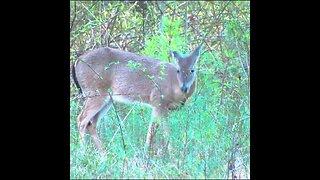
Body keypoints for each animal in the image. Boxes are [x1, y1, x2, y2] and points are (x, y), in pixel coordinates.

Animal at [71, 45, 201, 155]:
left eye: (192, 70)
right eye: (178, 70)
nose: (184, 87)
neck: (173, 84)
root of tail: (77, 61)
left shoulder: (156, 106)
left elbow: (152, 129)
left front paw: (146, 152)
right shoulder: (158, 99)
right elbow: (164, 130)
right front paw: (172, 153)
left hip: (106, 99)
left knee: (91, 123)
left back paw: (104, 154)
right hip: (95, 91)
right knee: (81, 119)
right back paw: (83, 152)